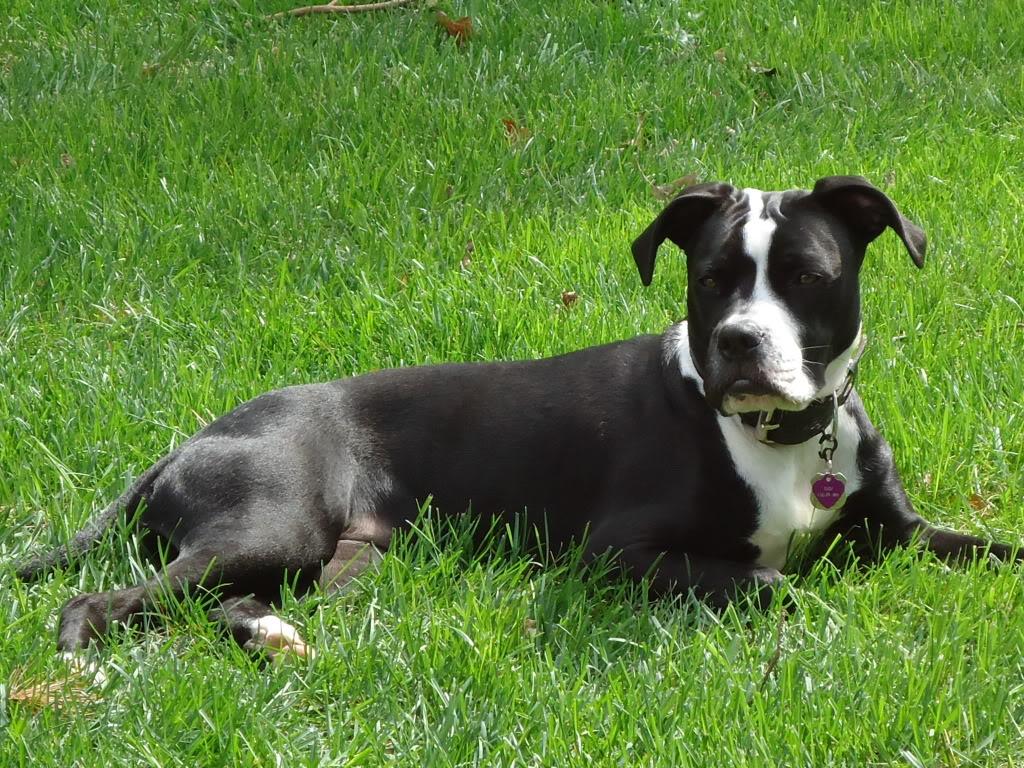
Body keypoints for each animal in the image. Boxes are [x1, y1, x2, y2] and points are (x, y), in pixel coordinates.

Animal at [14, 176, 1015, 663]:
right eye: (709, 279)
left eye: (808, 275)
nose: (739, 342)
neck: (779, 437)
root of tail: (186, 442)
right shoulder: (616, 553)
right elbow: (776, 582)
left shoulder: (905, 530)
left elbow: (996, 549)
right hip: (272, 525)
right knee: (103, 601)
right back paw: (82, 664)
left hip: (335, 561)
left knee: (230, 602)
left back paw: (271, 638)